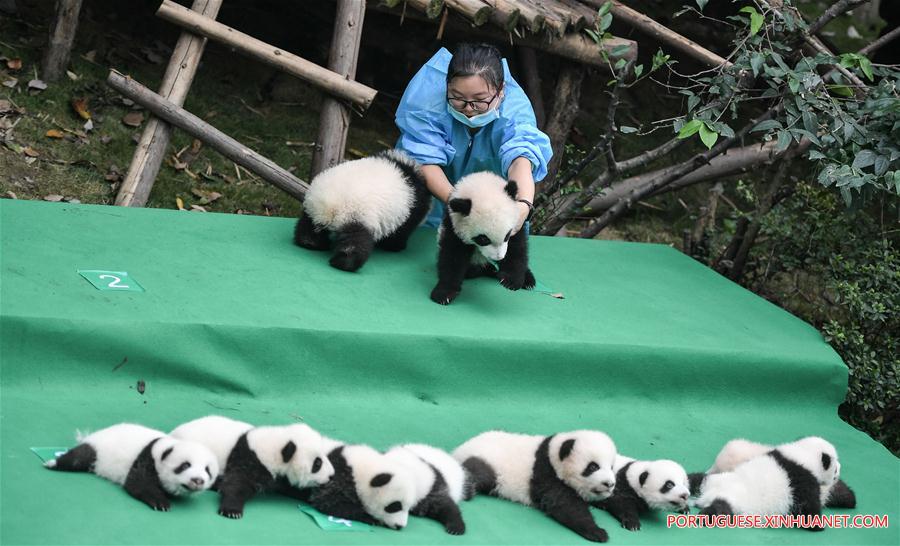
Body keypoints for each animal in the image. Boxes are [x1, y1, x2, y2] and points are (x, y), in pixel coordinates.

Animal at [44, 423, 218, 511]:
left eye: (207, 471)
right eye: (185, 465)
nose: (198, 480)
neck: (165, 444)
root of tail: (91, 435)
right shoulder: (146, 459)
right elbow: (137, 483)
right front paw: (161, 502)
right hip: (97, 451)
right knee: (79, 458)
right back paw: (53, 463)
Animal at [170, 415, 335, 519]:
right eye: (317, 463)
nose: (332, 475)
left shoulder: (280, 475)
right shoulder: (250, 459)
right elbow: (236, 484)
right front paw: (231, 510)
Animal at [294, 149, 430, 272]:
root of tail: (330, 205)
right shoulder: (411, 207)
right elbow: (401, 231)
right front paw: (395, 246)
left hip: (312, 208)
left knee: (308, 225)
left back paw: (310, 242)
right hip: (355, 214)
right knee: (355, 241)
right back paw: (345, 262)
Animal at [431, 171, 535, 305]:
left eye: (507, 235)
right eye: (483, 239)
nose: (499, 257)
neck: (480, 184)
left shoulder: (516, 225)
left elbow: (516, 250)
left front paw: (511, 280)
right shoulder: (453, 225)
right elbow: (452, 255)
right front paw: (444, 293)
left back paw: (528, 279)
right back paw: (487, 269)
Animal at [452, 430, 616, 543]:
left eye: (612, 467)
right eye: (593, 467)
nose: (609, 484)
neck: (551, 451)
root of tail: (459, 449)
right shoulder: (545, 472)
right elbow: (564, 504)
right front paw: (597, 532)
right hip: (486, 461)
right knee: (478, 474)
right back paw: (469, 490)